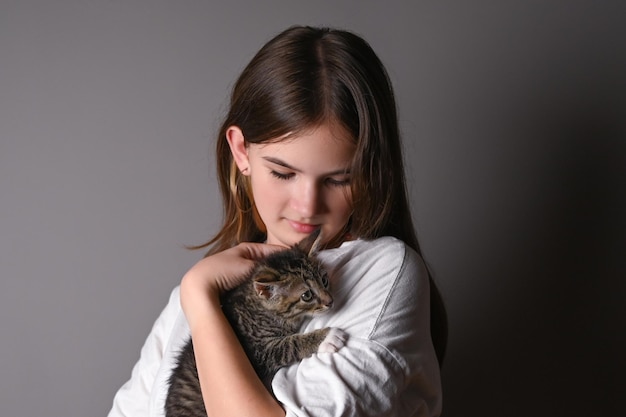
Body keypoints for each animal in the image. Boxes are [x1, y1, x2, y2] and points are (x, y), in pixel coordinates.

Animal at [165, 231, 346, 416]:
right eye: (307, 295)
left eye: (324, 280)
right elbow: (288, 344)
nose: (330, 301)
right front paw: (326, 337)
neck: (260, 307)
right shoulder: (258, 349)